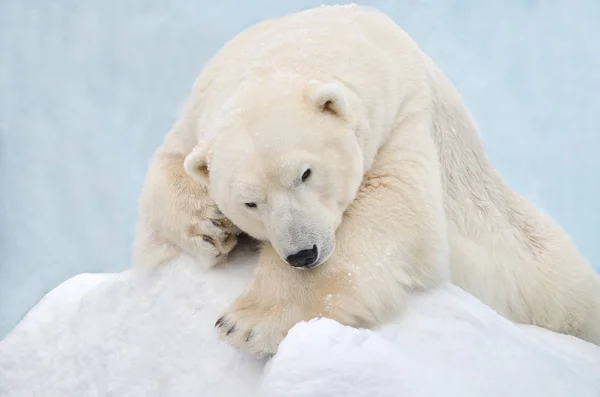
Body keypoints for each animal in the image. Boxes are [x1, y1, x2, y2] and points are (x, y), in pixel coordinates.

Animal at [135, 4, 600, 352]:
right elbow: (168, 163)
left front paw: (248, 322)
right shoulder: (198, 114)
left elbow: (387, 208)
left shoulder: (402, 114)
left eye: (305, 173)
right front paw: (210, 227)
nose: (302, 254)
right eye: (249, 202)